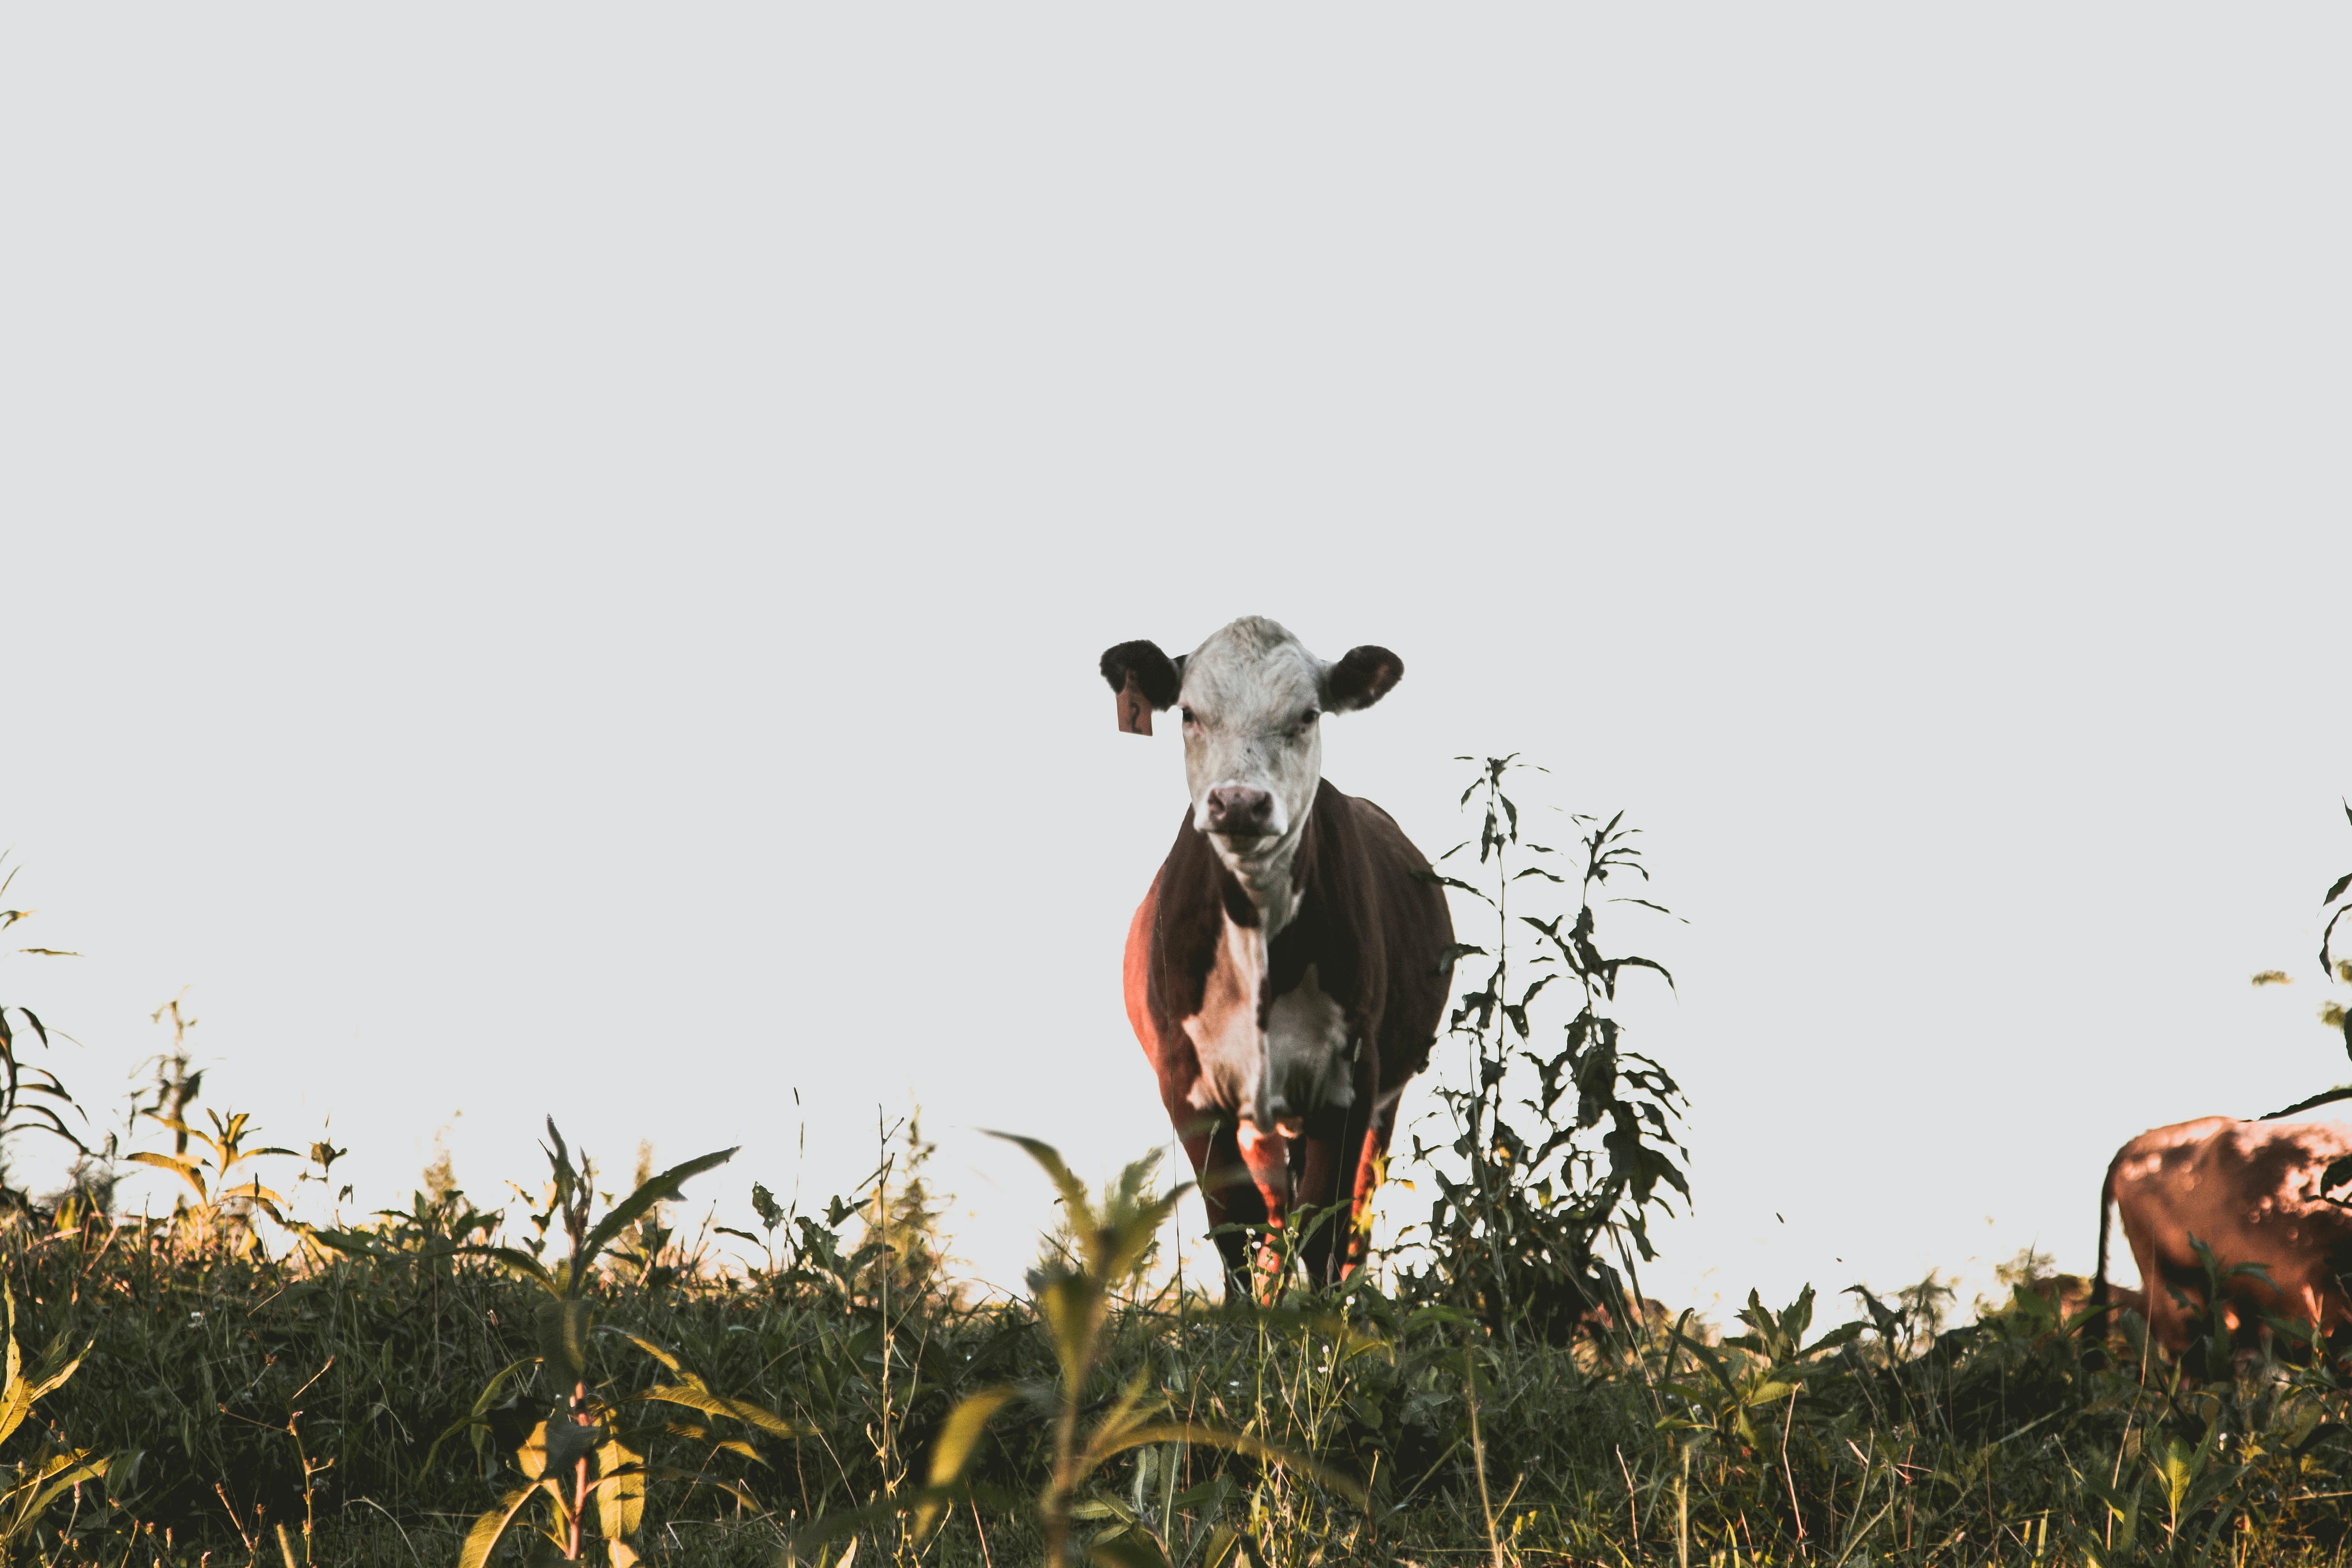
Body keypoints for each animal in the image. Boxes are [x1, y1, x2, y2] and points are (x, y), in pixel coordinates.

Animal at [1096, 616, 1449, 1298]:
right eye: (1189, 713)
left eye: (1308, 715)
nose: (1238, 802)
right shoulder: (1189, 1086)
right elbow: (1236, 1222)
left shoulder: (1351, 1080)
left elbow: (1326, 1224)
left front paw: (1324, 1321)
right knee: (1274, 1212)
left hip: (1378, 1102)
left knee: (1350, 1217)